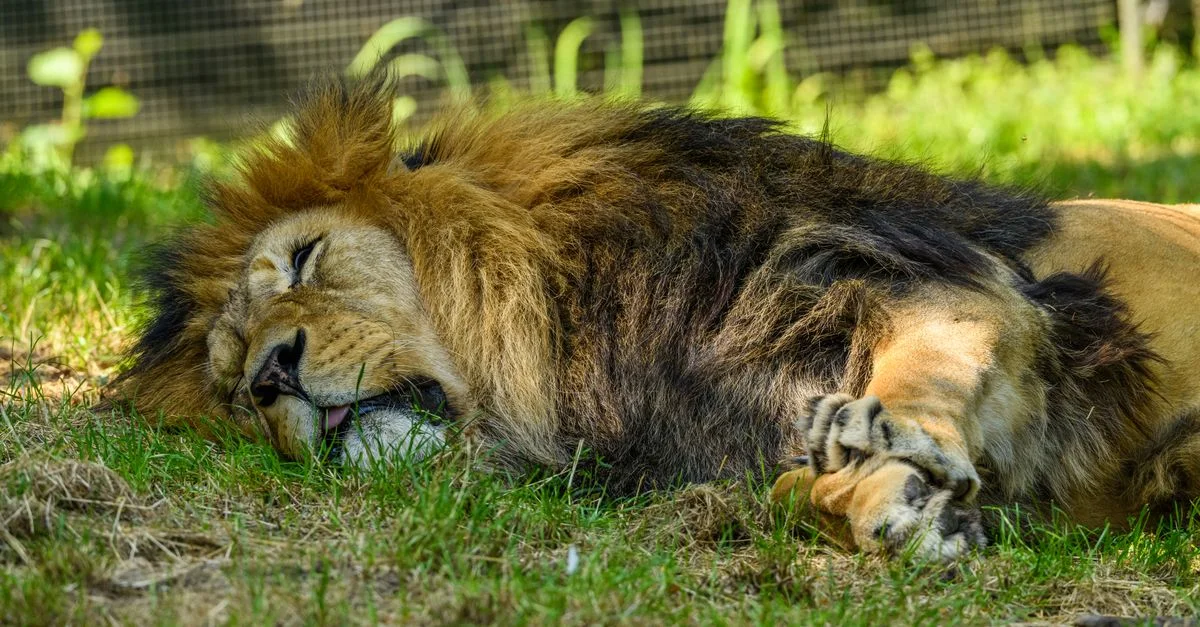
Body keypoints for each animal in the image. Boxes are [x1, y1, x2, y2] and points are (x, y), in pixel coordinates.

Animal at [107, 74, 1200, 561]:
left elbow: (923, 370)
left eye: (303, 258)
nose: (273, 374)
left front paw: (890, 453)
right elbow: (788, 490)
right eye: (233, 390)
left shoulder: (936, 279)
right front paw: (887, 505)